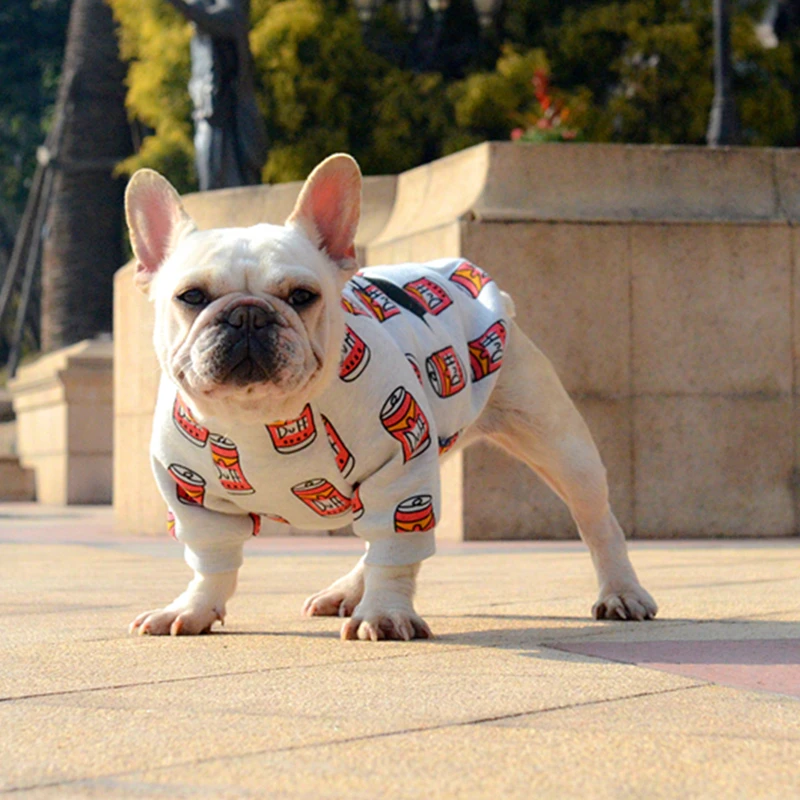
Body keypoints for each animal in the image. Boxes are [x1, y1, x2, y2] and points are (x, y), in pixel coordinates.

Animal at [125, 155, 656, 644]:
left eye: (302, 296)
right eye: (191, 296)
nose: (249, 316)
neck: (260, 420)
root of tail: (471, 278)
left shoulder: (400, 468)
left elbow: (395, 549)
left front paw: (383, 613)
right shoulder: (190, 493)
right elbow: (211, 560)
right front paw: (193, 608)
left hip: (556, 443)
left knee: (597, 521)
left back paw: (622, 592)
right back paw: (344, 591)